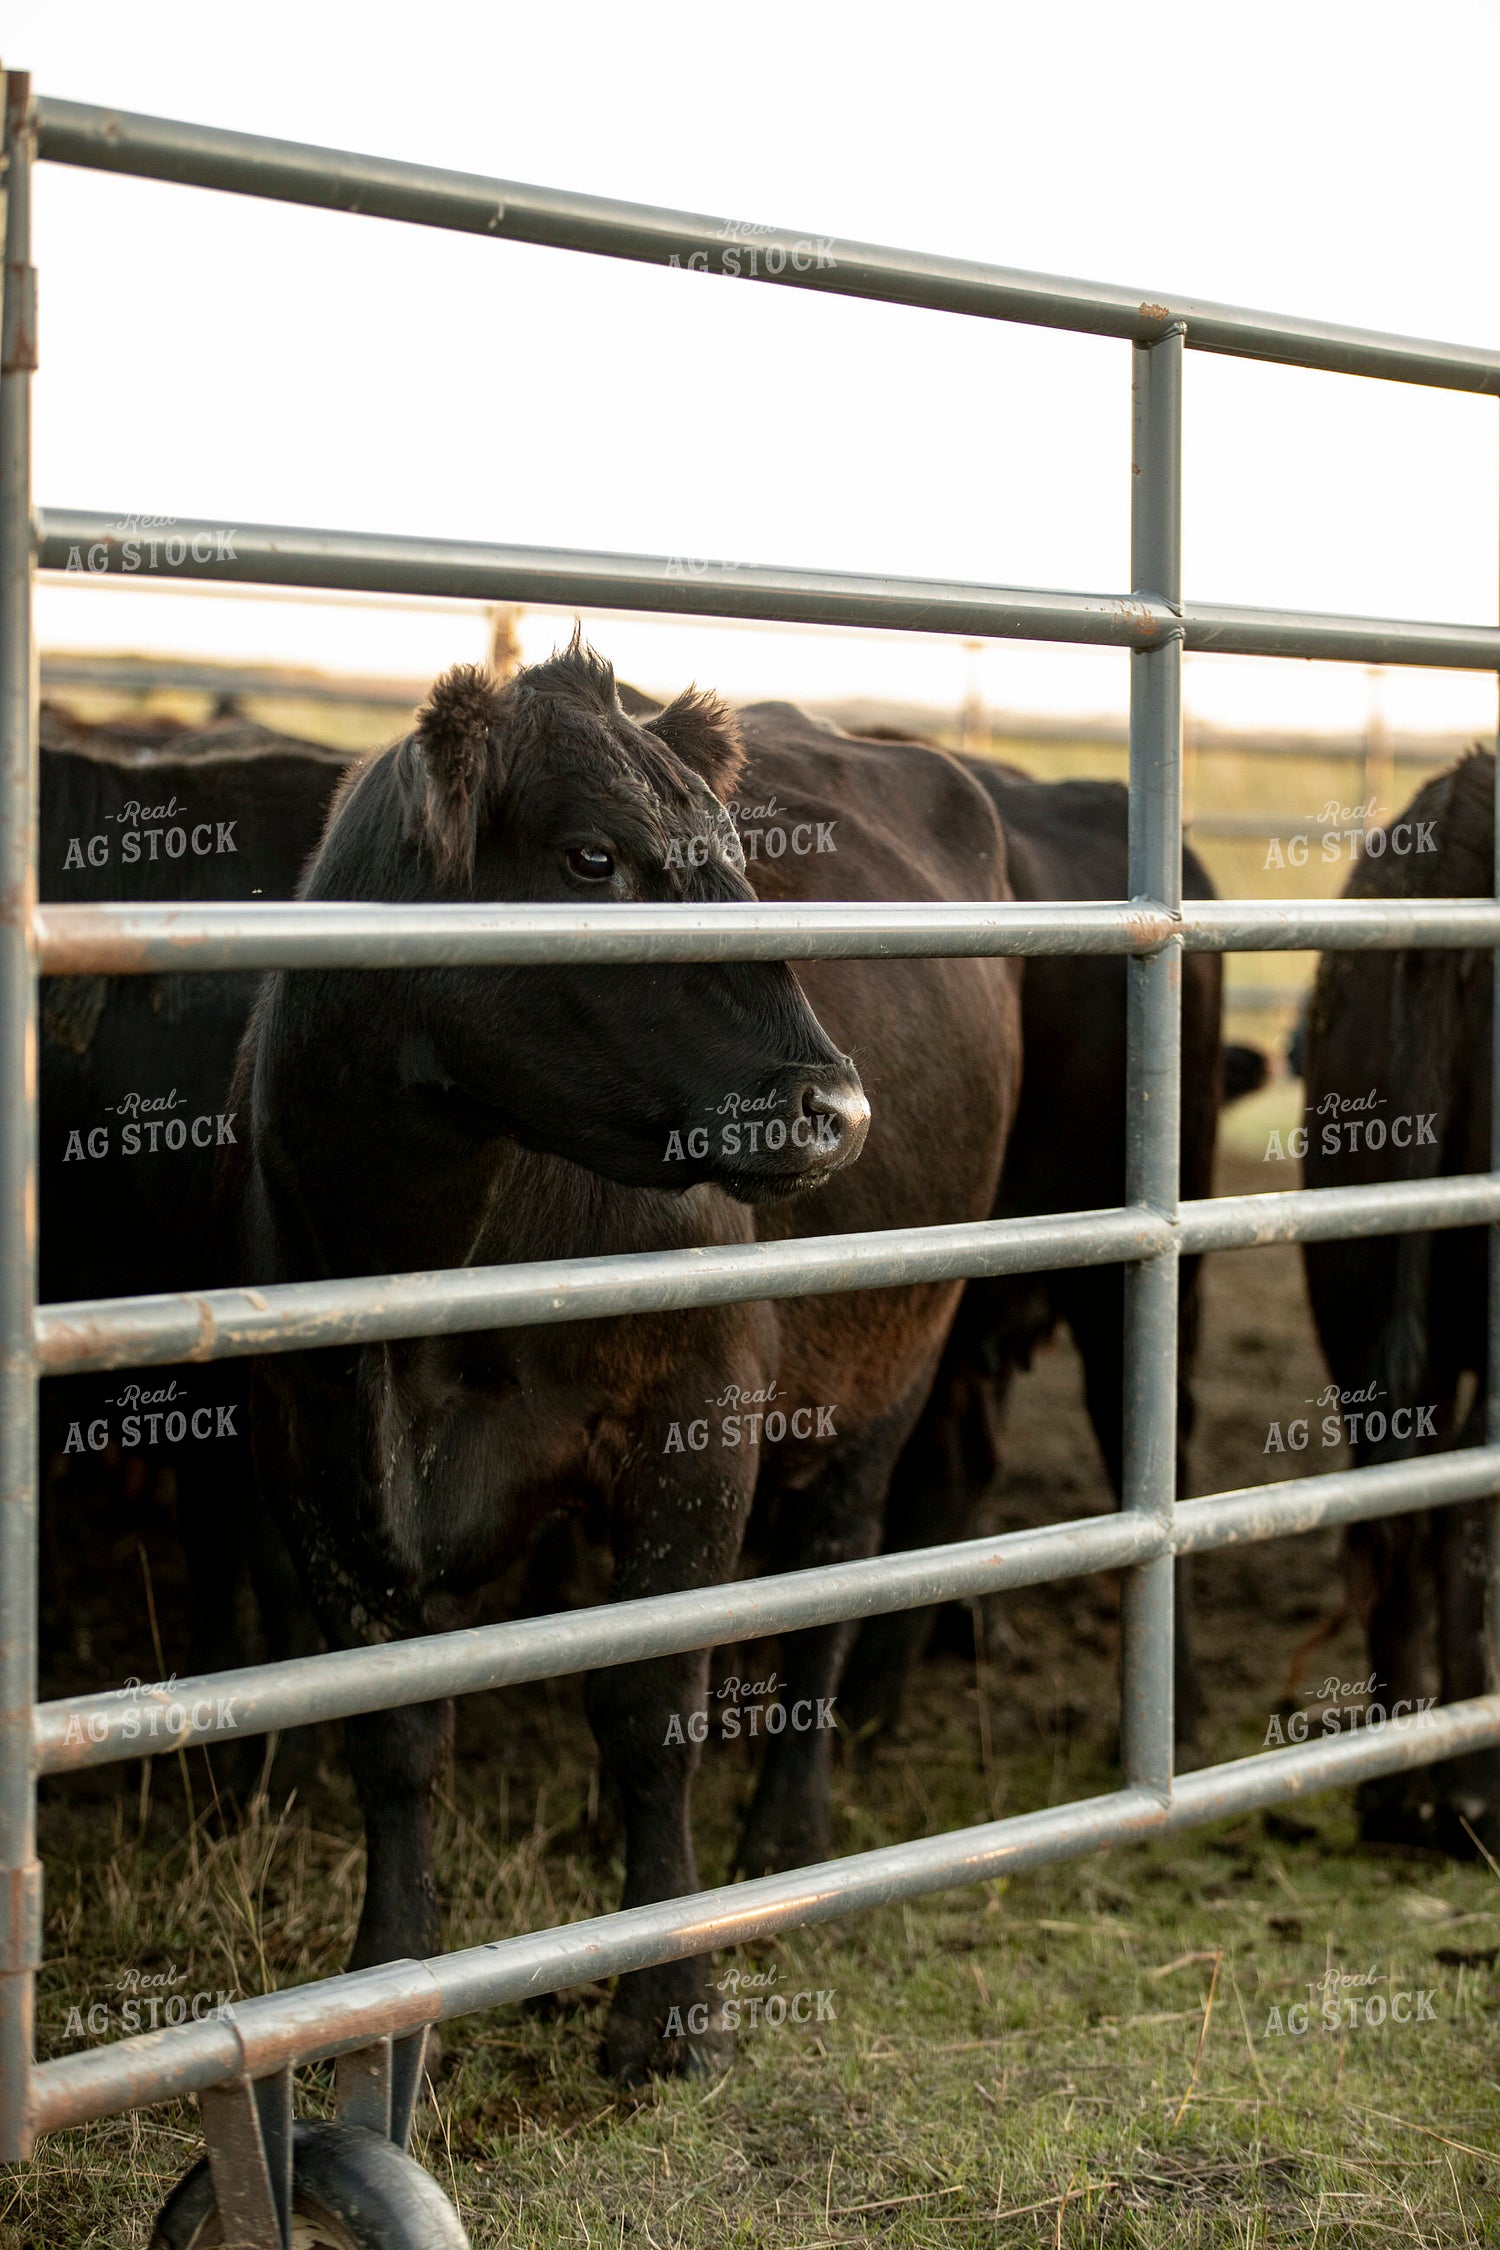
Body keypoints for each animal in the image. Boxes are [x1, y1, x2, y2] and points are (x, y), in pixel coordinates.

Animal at [227, 641, 1023, 2080]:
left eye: (734, 857)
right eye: (592, 857)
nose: (838, 1106)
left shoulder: (693, 1420)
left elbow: (653, 1708)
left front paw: (669, 2003)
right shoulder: (313, 1451)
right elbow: (395, 1735)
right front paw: (382, 1989)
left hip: (895, 1363)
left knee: (831, 1578)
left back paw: (782, 1838)